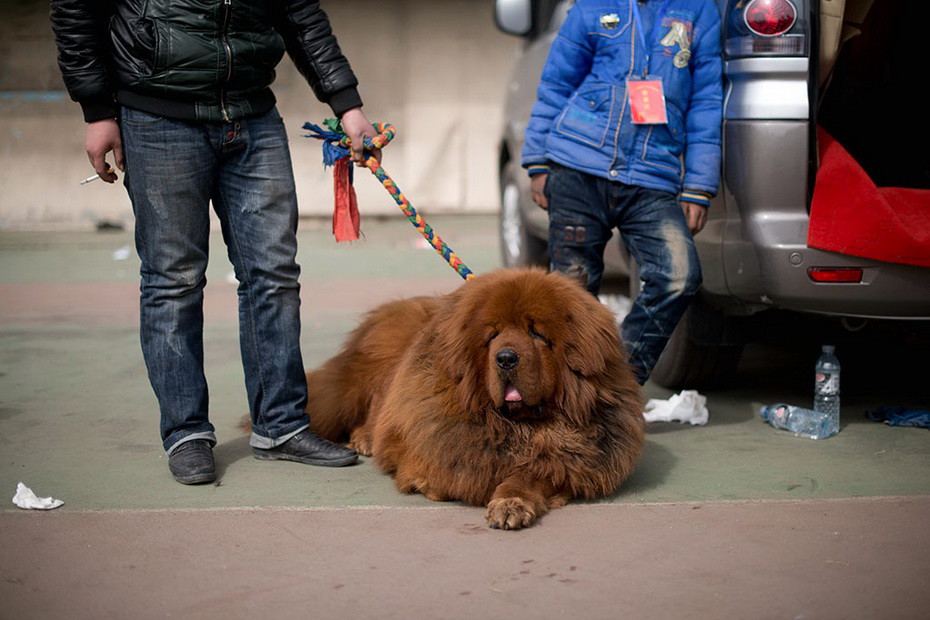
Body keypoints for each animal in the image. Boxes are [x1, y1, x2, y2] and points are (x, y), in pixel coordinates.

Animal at [308, 266, 640, 528]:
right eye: (493, 335)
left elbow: (533, 475)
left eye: (536, 334)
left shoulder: (568, 463)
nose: (505, 358)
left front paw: (510, 503)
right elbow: (443, 470)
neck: (518, 425)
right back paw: (365, 437)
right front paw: (428, 482)